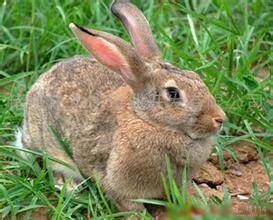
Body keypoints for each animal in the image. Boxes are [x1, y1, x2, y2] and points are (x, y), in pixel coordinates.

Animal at [17, 0, 225, 213]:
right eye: (173, 93)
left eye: (196, 76)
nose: (220, 119)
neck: (147, 120)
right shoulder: (118, 185)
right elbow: (130, 205)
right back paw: (68, 187)